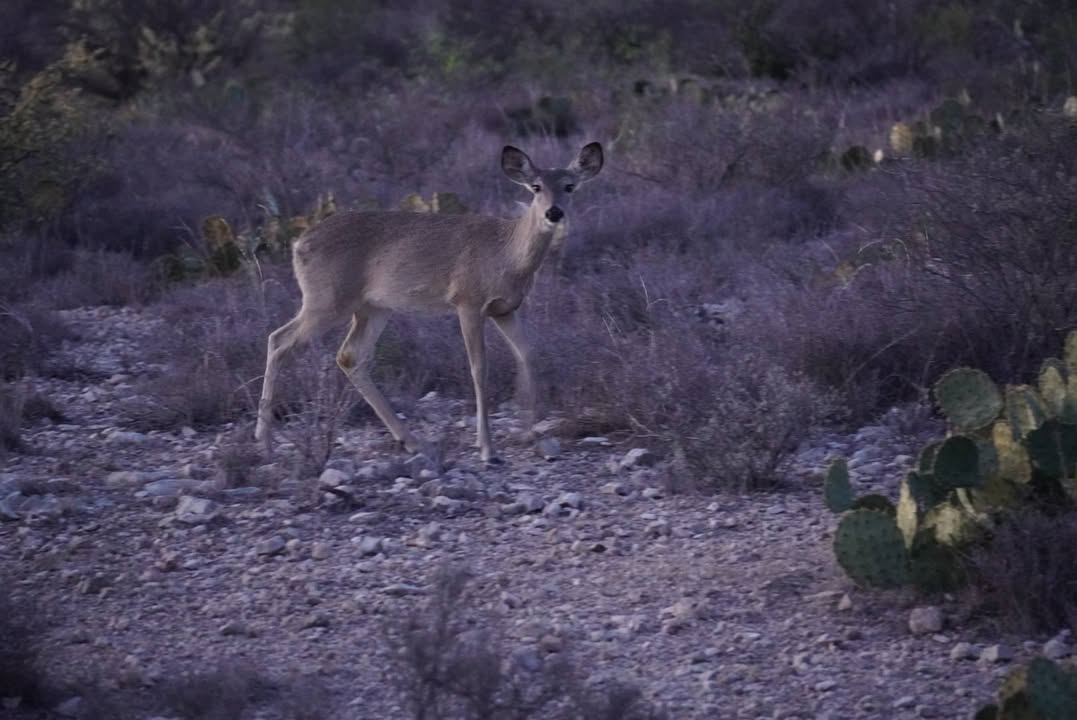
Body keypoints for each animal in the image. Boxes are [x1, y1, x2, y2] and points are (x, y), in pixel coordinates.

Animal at [254, 142, 604, 464]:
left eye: (570, 186)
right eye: (536, 187)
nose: (553, 213)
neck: (507, 253)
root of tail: (298, 244)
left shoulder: (504, 309)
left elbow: (528, 354)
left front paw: (529, 433)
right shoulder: (468, 300)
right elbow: (479, 368)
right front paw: (487, 448)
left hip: (373, 307)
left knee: (349, 356)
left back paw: (413, 442)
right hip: (327, 299)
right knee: (279, 339)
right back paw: (264, 441)